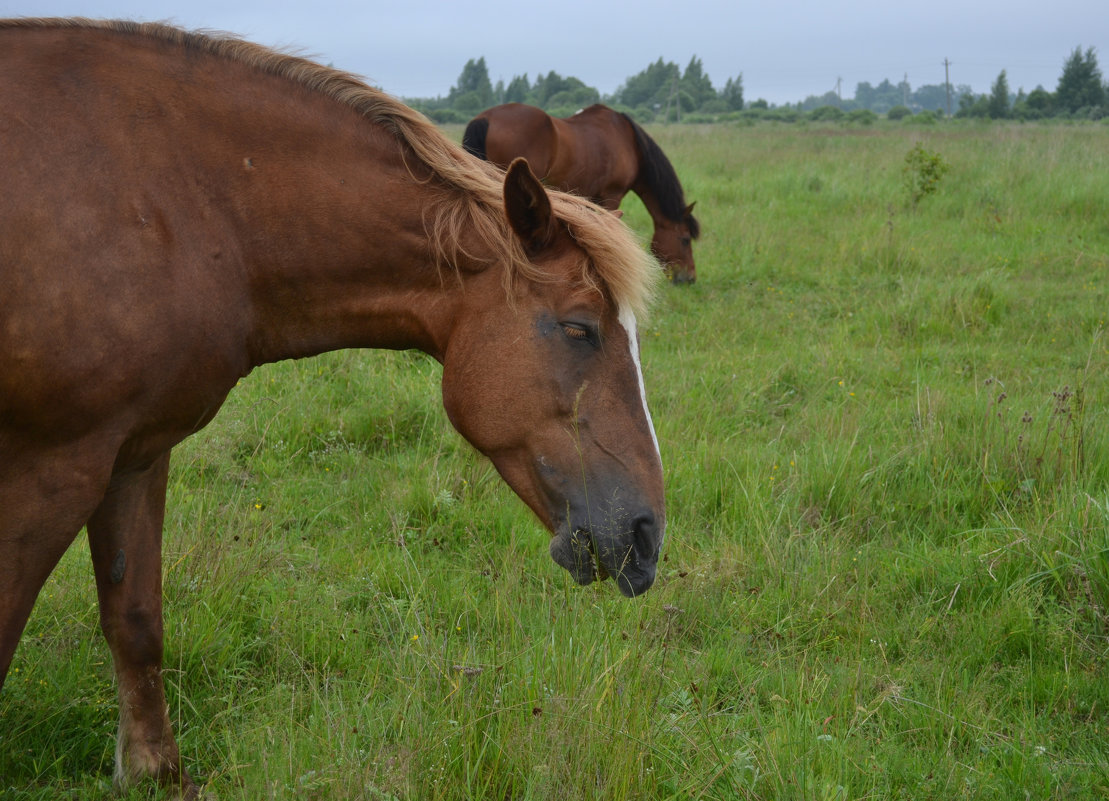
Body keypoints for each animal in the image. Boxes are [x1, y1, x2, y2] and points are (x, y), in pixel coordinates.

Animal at [0, 17, 665, 794]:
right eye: (579, 328)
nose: (647, 533)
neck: (173, 199)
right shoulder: (54, 468)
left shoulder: (133, 451)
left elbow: (134, 619)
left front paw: (154, 774)